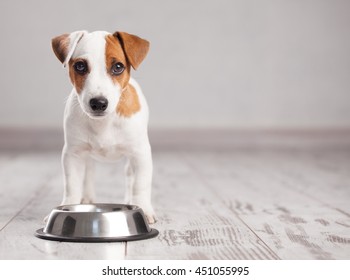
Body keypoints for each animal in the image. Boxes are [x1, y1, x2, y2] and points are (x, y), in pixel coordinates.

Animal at [50, 30, 156, 223]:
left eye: (118, 67)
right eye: (80, 66)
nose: (98, 103)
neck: (103, 123)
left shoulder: (140, 153)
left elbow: (140, 184)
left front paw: (143, 209)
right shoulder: (72, 154)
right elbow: (72, 185)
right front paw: (67, 206)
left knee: (129, 176)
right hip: (86, 156)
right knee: (89, 173)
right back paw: (87, 197)